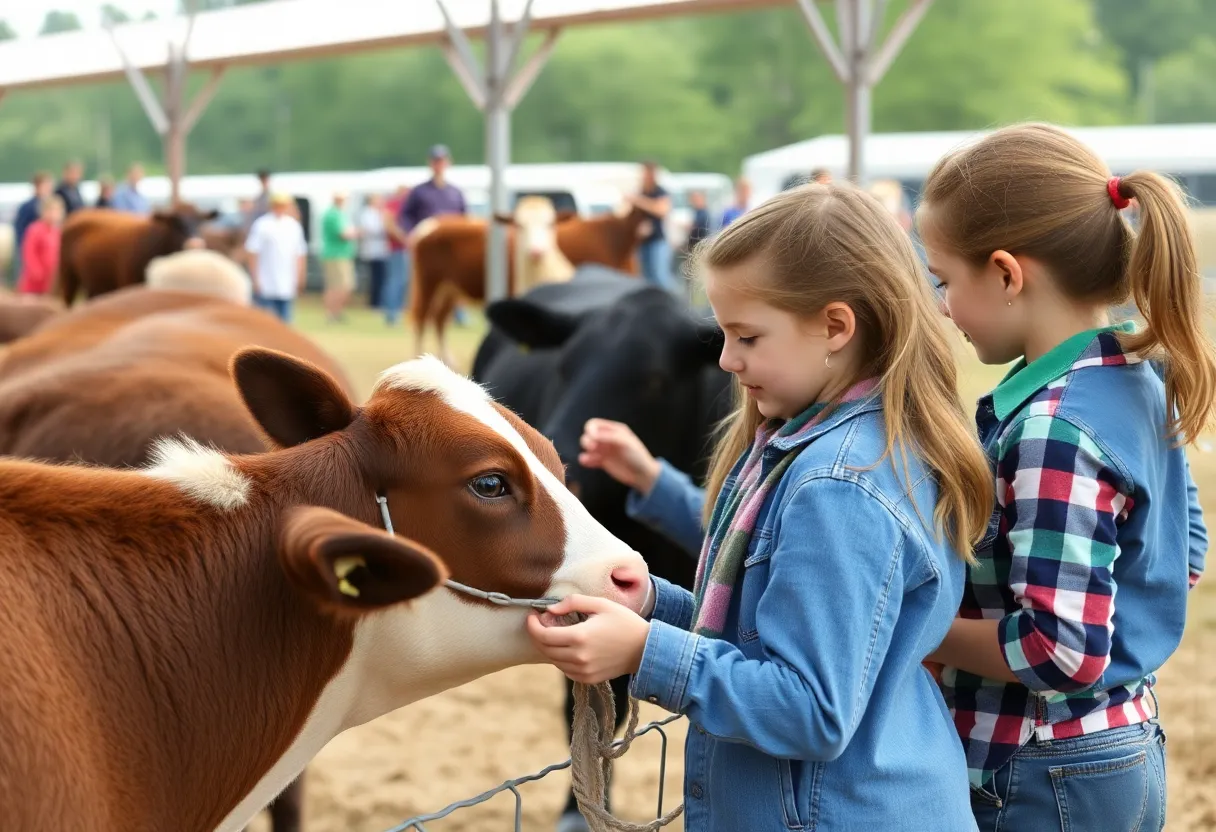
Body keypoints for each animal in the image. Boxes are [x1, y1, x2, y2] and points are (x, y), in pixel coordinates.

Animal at [56, 203, 221, 306]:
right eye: (175, 222)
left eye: (200, 222)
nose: (195, 244)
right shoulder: (129, 284)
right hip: (68, 278)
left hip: (95, 283)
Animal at [411, 203, 656, 364]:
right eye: (519, 225)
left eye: (550, 224)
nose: (537, 252)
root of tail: (430, 225)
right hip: (429, 283)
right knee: (422, 318)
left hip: (449, 290)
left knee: (439, 319)